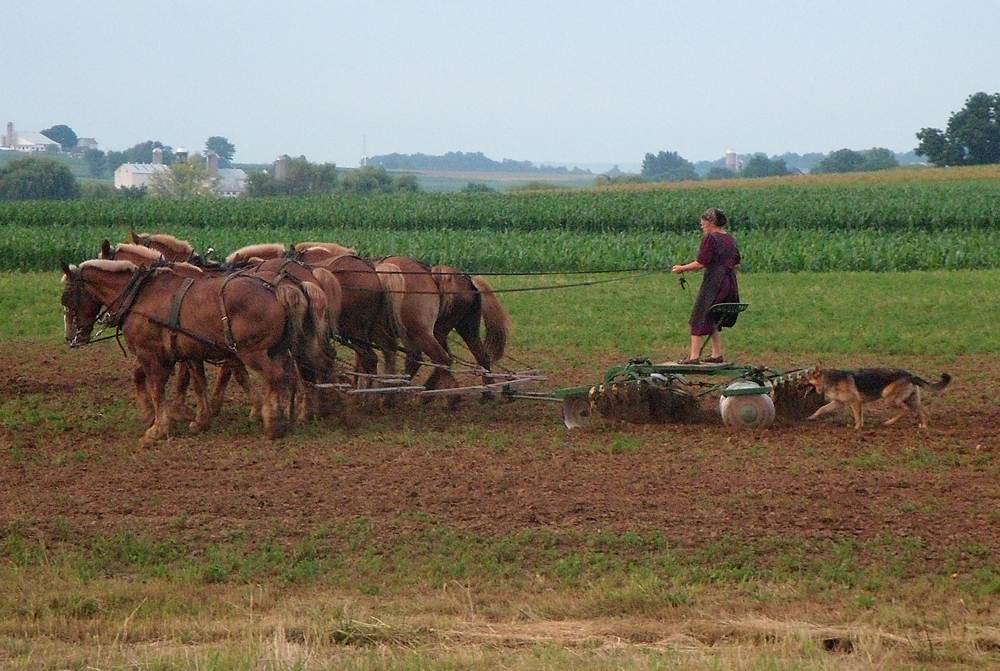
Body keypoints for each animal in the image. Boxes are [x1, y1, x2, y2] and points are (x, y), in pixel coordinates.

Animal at [61, 260, 308, 444]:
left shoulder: (151, 354)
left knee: (276, 378)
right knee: (289, 378)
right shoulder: (186, 354)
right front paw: (198, 420)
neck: (138, 296)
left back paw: (273, 423)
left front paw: (157, 428)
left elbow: (156, 388)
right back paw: (285, 416)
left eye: (67, 298)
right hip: (276, 350)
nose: (71, 338)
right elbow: (195, 384)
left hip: (253, 352)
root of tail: (277, 290)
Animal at [376, 258, 512, 404]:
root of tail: (468, 281)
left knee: (439, 358)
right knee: (479, 356)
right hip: (465, 327)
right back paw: (485, 394)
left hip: (428, 331)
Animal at [804, 362, 952, 430]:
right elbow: (821, 409)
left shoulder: (855, 402)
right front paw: (810, 417)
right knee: (923, 412)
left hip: (888, 398)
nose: (799, 384)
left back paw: (888, 422)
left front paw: (857, 428)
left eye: (805, 378)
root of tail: (910, 375)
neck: (828, 379)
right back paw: (924, 427)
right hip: (911, 400)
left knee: (905, 410)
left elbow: (858, 417)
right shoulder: (838, 403)